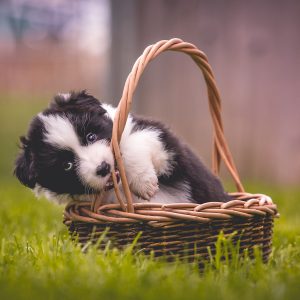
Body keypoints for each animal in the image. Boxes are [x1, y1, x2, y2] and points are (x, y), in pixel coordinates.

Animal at [14, 90, 230, 205]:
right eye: (66, 165)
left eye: (91, 136)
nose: (103, 168)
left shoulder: (162, 143)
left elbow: (127, 146)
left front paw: (144, 184)